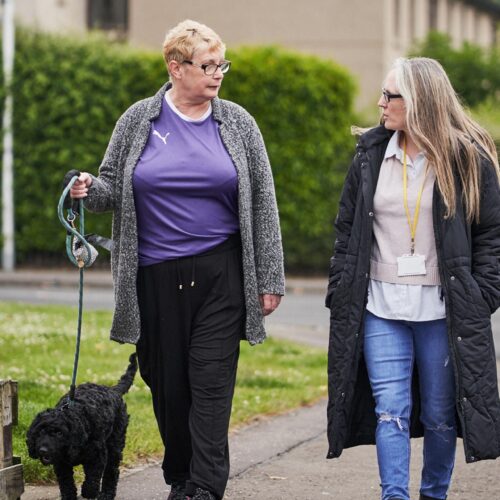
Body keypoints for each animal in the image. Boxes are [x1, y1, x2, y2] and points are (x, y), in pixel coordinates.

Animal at [26, 354, 138, 498]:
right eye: (40, 432)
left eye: (59, 433)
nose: (43, 450)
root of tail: (113, 390)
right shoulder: (61, 464)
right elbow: (66, 483)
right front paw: (69, 496)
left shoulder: (97, 456)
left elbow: (92, 479)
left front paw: (89, 492)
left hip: (115, 444)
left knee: (112, 471)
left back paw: (106, 494)